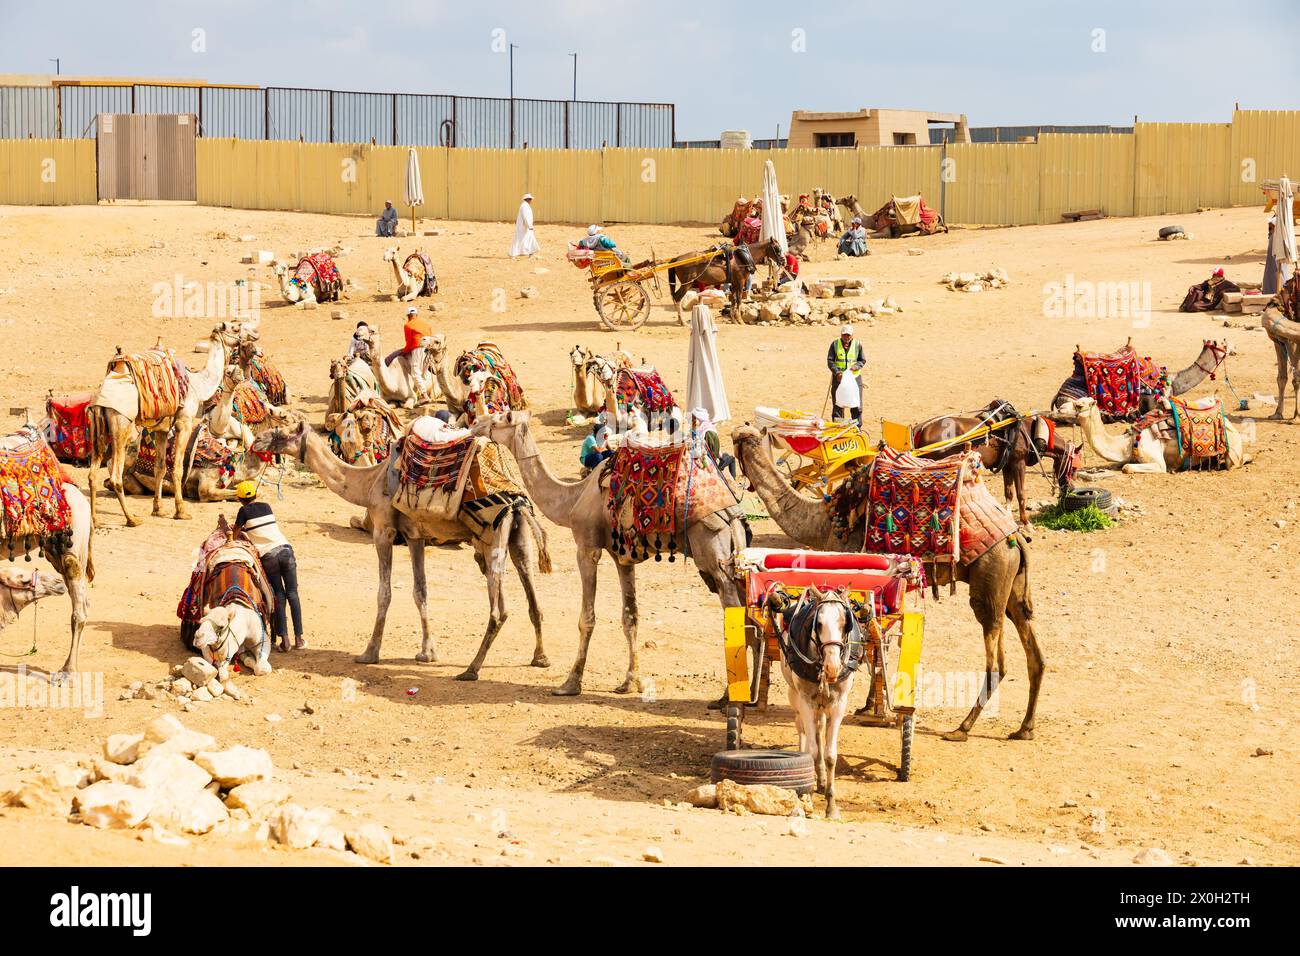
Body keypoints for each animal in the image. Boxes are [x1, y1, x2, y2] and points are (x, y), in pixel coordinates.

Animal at [87, 323, 240, 527]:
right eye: (235, 328)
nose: (253, 336)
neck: (197, 385)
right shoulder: (184, 422)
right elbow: (178, 468)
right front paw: (181, 511)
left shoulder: (162, 428)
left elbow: (160, 467)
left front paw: (158, 509)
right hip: (121, 424)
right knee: (115, 478)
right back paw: (132, 519)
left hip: (98, 429)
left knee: (92, 475)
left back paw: (95, 520)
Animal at [251, 421, 551, 679]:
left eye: (284, 429)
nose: (257, 440)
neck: (370, 481)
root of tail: (515, 495)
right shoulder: (414, 535)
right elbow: (421, 591)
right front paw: (428, 652)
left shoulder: (383, 531)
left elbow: (384, 593)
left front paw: (369, 653)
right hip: (519, 535)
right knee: (533, 599)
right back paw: (540, 657)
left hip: (491, 537)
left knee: (499, 610)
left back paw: (471, 669)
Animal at [486, 410, 747, 697]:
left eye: (499, 419)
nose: (477, 425)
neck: (573, 498)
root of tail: (731, 509)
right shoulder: (622, 556)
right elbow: (630, 616)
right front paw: (629, 682)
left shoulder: (587, 547)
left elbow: (586, 618)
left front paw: (570, 683)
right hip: (731, 552)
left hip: (710, 547)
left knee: (732, 607)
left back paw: (728, 696)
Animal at [732, 424, 1043, 741]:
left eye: (744, 436)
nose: (736, 431)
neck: (824, 522)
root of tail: (1017, 538)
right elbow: (876, 646)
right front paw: (871, 707)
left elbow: (869, 644)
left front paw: (874, 709)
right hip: (1012, 586)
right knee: (1032, 652)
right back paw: (1025, 728)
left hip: (990, 579)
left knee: (996, 658)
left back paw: (962, 728)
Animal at [1072, 396, 1249, 473]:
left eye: (1078, 405)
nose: (1062, 410)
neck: (1128, 443)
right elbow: (1121, 464)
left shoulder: (1156, 462)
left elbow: (1126, 467)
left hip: (1232, 454)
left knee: (1235, 462)